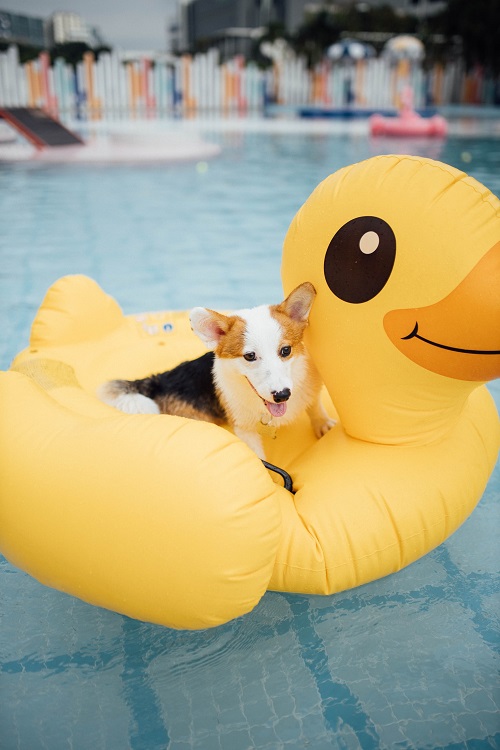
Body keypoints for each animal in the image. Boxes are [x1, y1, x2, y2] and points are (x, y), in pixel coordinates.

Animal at [98, 282, 334, 458]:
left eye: (286, 350)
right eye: (249, 356)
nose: (282, 395)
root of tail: (159, 380)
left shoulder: (309, 391)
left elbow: (315, 407)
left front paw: (323, 424)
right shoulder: (244, 429)